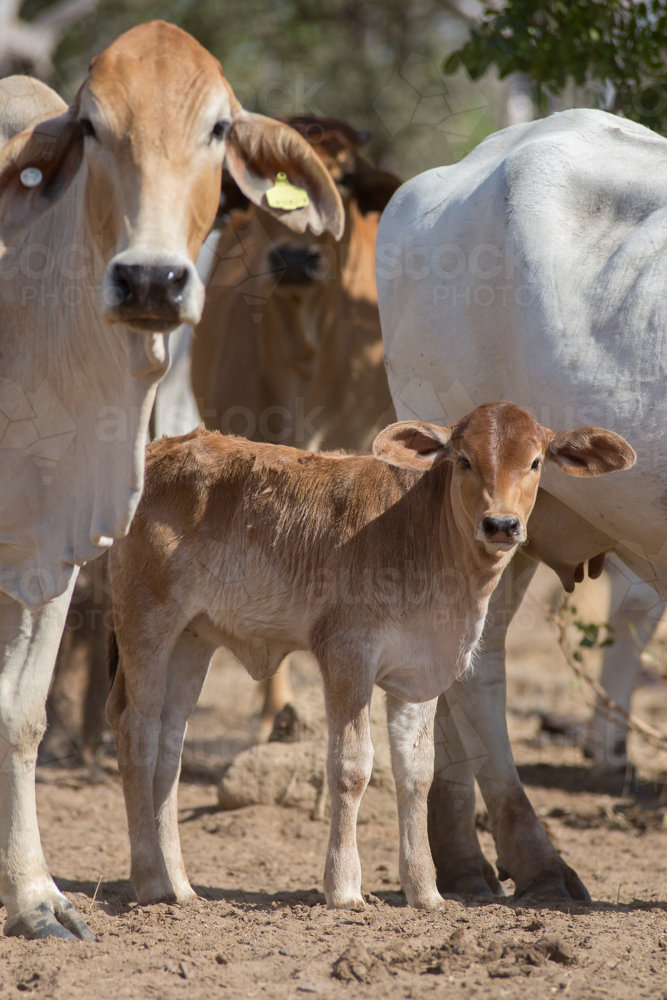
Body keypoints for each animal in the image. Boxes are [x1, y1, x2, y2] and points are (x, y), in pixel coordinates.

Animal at [0, 20, 343, 940]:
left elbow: (21, 716)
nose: (150, 279)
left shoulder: (52, 548)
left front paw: (35, 898)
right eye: (90, 126)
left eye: (219, 128)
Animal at [105, 403, 633, 911]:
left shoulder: (421, 675)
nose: (501, 524)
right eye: (464, 460)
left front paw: (426, 892)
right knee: (135, 730)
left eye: (536, 462)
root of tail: (158, 450)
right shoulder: (346, 654)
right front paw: (344, 887)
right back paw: (152, 882)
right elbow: (351, 766)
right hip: (146, 620)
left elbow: (417, 774)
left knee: (169, 744)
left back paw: (181, 886)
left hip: (192, 639)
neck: (423, 540)